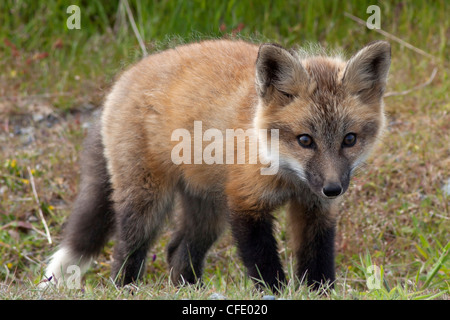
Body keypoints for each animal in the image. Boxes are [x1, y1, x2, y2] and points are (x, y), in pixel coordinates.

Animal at [41, 39, 390, 290]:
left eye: (349, 139)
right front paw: (275, 291)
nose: (333, 188)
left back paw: (189, 290)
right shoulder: (245, 204)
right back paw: (125, 286)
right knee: (126, 251)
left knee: (177, 251)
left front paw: (319, 292)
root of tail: (125, 76)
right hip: (148, 202)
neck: (287, 176)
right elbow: (264, 265)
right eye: (305, 140)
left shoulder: (315, 209)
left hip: (208, 213)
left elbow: (318, 261)